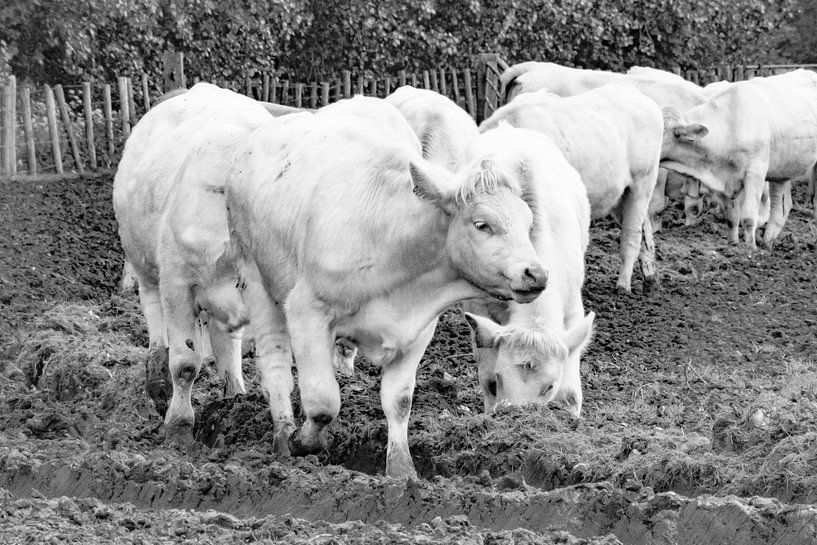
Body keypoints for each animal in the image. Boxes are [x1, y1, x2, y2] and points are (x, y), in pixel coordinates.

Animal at [225, 96, 547, 479]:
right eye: (482, 224)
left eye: (527, 223)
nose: (536, 274)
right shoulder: (307, 310)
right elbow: (322, 401)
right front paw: (303, 442)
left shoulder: (419, 329)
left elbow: (399, 400)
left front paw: (402, 469)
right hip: (255, 279)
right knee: (275, 363)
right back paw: (282, 435)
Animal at [461, 124, 594, 416]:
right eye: (500, 380)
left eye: (549, 387)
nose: (518, 413)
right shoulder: (481, 310)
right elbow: (485, 376)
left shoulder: (572, 305)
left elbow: (571, 393)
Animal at [482, 85, 664, 293]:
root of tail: (637, 94)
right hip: (622, 197)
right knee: (645, 231)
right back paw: (651, 278)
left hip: (642, 184)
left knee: (632, 236)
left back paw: (623, 286)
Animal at [661, 69, 817, 247]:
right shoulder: (727, 179)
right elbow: (732, 218)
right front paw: (734, 245)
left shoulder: (755, 173)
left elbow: (748, 218)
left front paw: (750, 249)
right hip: (782, 171)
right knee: (780, 208)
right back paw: (767, 243)